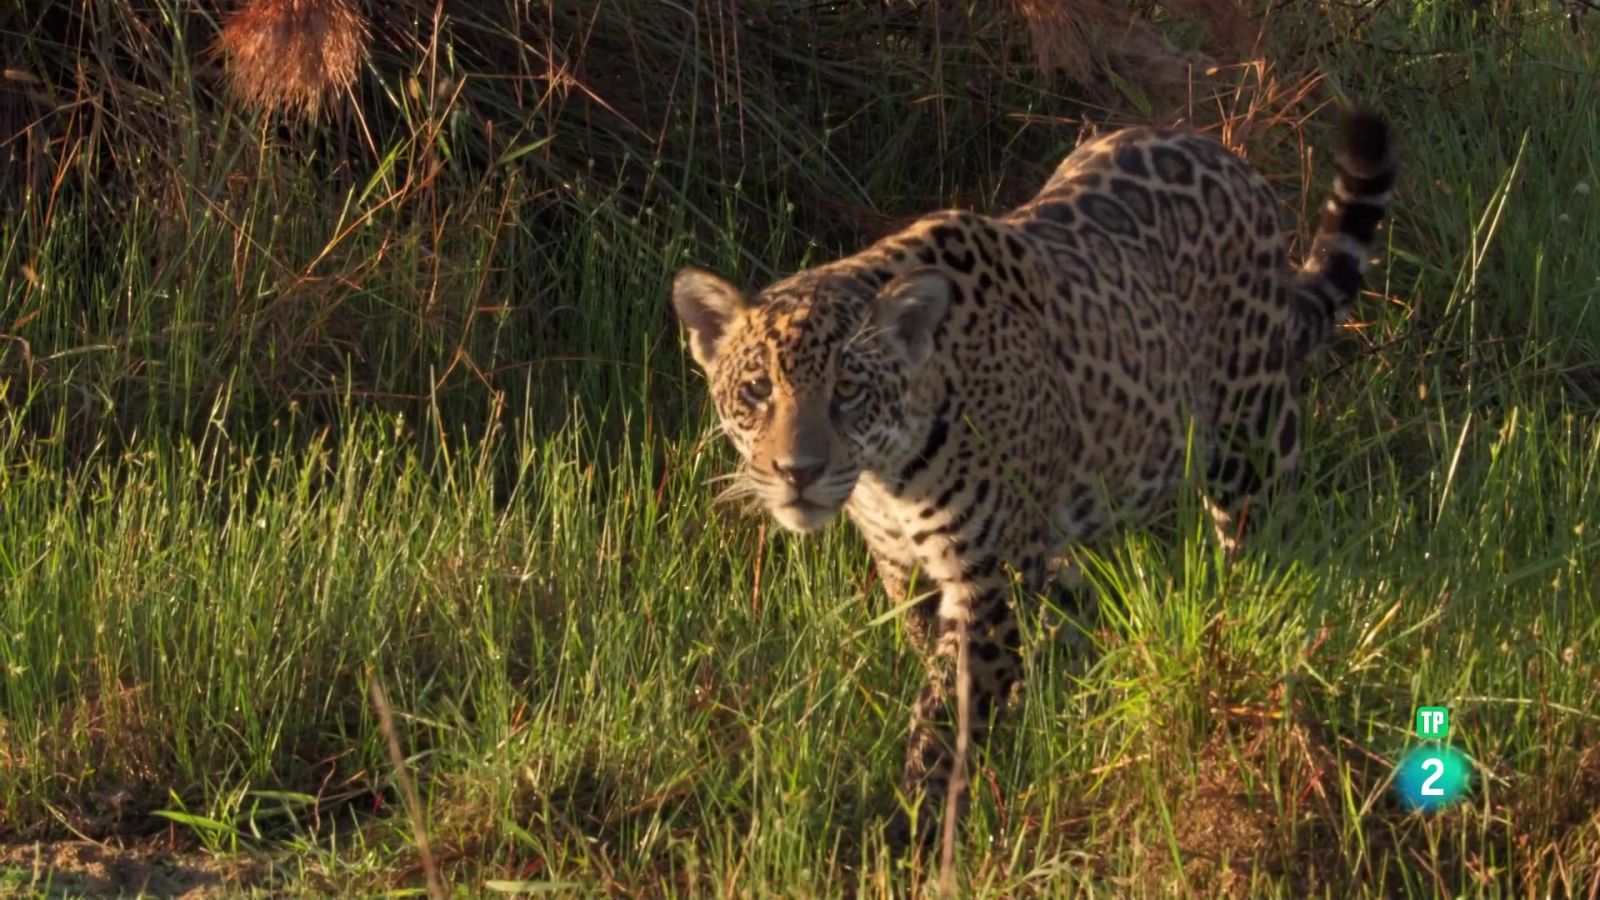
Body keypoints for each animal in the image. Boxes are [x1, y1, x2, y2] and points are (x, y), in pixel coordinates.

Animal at [669, 106, 1396, 845]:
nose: (797, 472)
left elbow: (945, 717)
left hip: (1254, 442)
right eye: (756, 390)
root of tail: (1230, 160)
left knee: (1265, 559)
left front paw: (918, 826)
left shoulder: (987, 582)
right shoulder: (908, 576)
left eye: (847, 392)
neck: (887, 476)